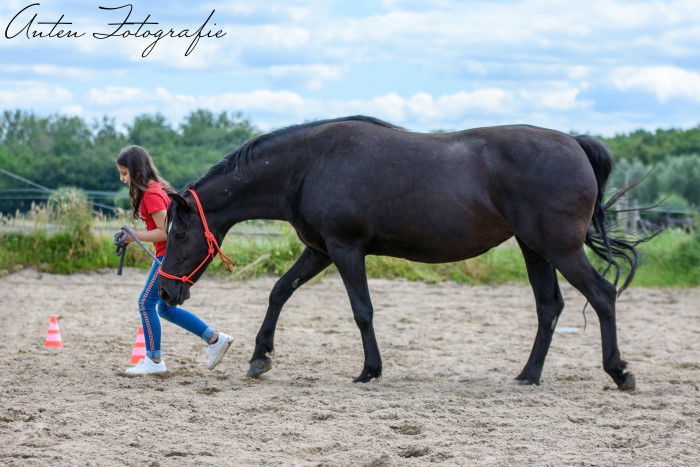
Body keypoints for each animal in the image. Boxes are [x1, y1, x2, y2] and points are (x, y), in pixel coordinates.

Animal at [159, 116, 641, 390]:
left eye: (179, 235)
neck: (308, 164)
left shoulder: (345, 249)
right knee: (549, 307)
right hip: (535, 249)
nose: (165, 294)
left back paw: (619, 372)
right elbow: (279, 291)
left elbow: (362, 311)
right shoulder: (319, 250)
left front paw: (369, 370)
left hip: (560, 248)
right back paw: (528, 375)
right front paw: (260, 356)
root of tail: (576, 143)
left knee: (602, 295)